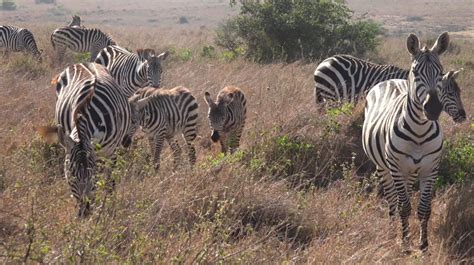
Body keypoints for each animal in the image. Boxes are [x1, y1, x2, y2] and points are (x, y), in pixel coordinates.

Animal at [38, 62, 137, 217]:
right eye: (71, 176)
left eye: (93, 175)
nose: (84, 212)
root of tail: (83, 63)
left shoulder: (109, 152)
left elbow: (107, 183)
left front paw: (106, 209)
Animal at [362, 32, 458, 251]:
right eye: (415, 71)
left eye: (441, 72)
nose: (433, 109)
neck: (419, 133)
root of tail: (391, 80)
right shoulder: (396, 168)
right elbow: (404, 207)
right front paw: (405, 243)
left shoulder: (430, 169)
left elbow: (423, 208)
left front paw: (423, 245)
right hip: (384, 167)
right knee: (392, 201)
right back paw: (391, 231)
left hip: (411, 171)